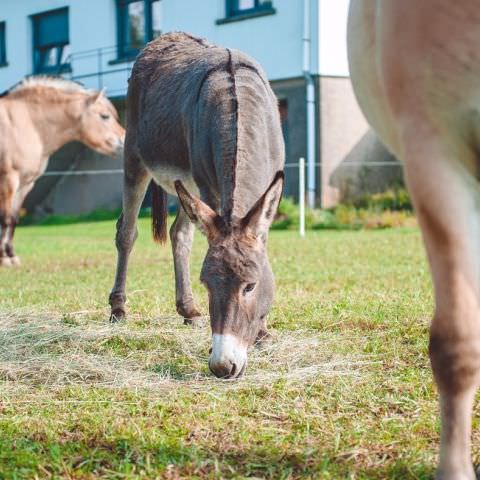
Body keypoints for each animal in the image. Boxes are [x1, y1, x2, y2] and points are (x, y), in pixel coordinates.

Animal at [0, 78, 125, 266]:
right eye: (105, 116)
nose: (125, 141)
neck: (27, 123)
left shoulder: (25, 184)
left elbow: (13, 219)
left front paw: (11, 255)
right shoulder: (8, 181)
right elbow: (5, 218)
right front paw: (4, 258)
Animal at [108, 32, 284, 378]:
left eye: (250, 286)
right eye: (207, 284)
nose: (223, 366)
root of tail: (165, 37)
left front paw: (263, 333)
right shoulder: (209, 188)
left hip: (185, 185)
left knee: (179, 235)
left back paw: (188, 311)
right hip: (136, 159)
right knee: (127, 232)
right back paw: (119, 308)